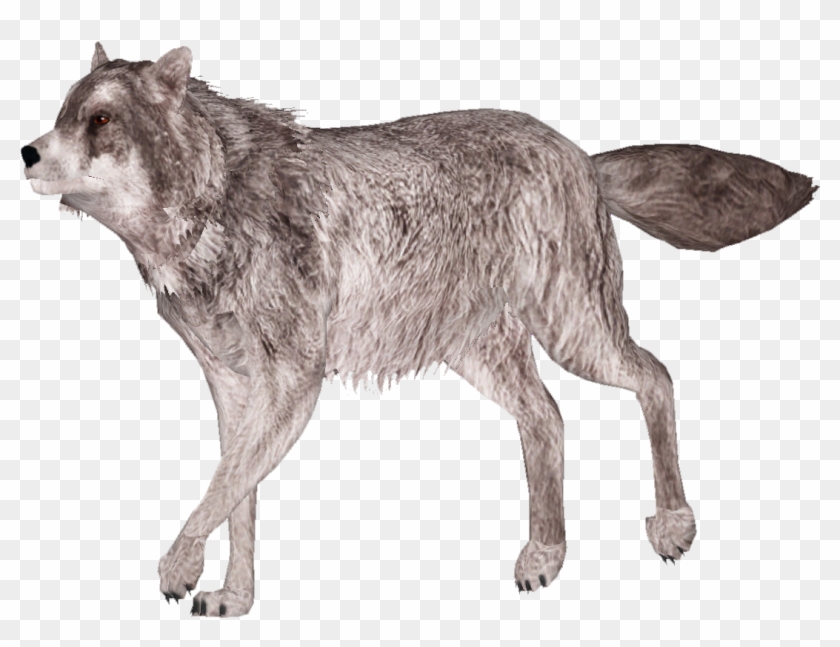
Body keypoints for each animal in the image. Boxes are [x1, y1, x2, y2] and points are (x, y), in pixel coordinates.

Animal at [21, 44, 817, 617]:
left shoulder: (294, 384)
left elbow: (222, 487)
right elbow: (236, 491)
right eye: (62, 114)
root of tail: (582, 157)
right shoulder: (235, 389)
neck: (211, 207)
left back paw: (673, 523)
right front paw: (236, 598)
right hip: (484, 356)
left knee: (655, 375)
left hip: (575, 332)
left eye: (99, 121)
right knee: (549, 419)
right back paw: (545, 554)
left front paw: (181, 567)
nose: (27, 152)